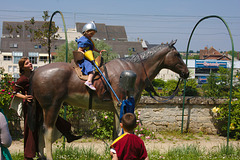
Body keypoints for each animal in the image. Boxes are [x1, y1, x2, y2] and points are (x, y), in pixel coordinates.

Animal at [31, 39, 188, 159]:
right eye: (177, 54)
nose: (186, 72)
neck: (134, 68)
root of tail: (36, 71)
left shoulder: (115, 108)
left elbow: (115, 133)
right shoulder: (120, 104)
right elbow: (121, 132)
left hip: (43, 108)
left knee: (38, 129)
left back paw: (41, 155)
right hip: (52, 107)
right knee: (47, 130)